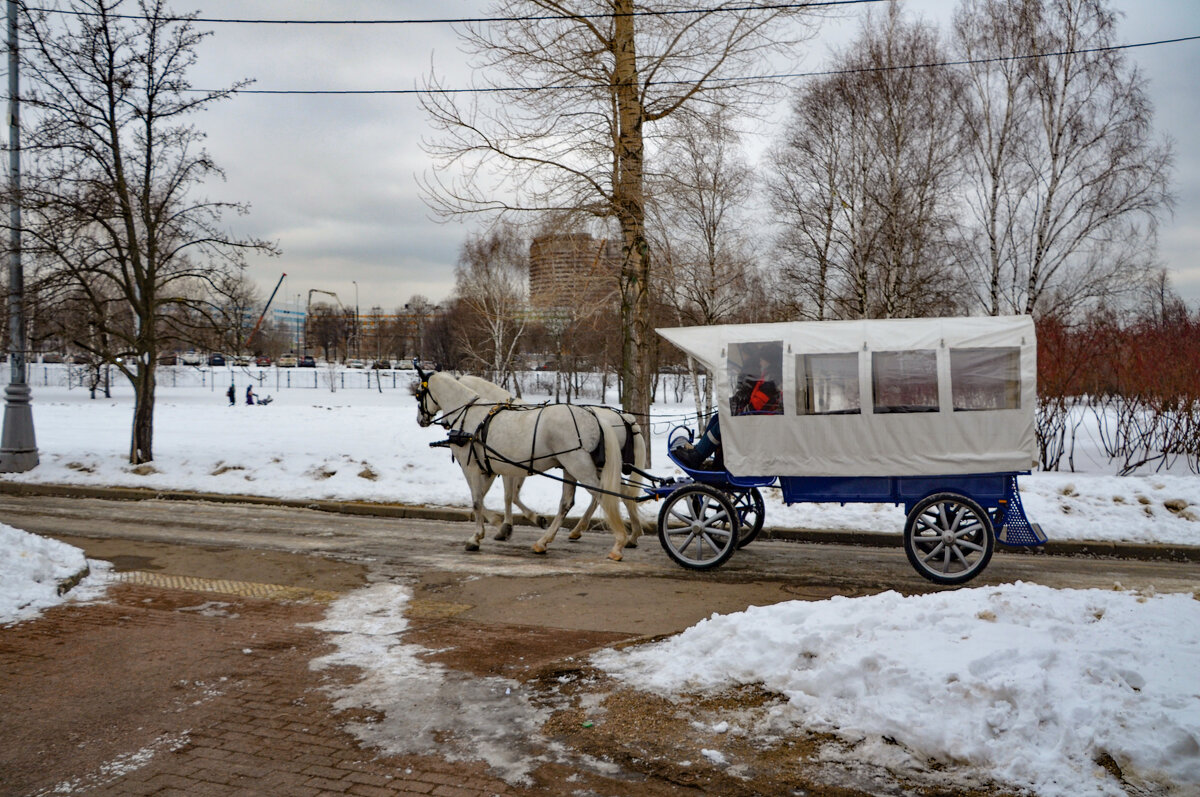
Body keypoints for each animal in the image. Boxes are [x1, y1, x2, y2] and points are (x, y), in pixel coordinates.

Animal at [417, 367, 633, 559]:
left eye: (418, 394)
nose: (421, 420)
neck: (470, 417)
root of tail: (594, 417)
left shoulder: (472, 468)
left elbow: (479, 501)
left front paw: (478, 536)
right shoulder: (490, 468)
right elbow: (493, 498)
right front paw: (501, 526)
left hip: (579, 466)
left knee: (603, 495)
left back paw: (619, 542)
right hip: (575, 468)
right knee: (569, 502)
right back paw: (544, 541)